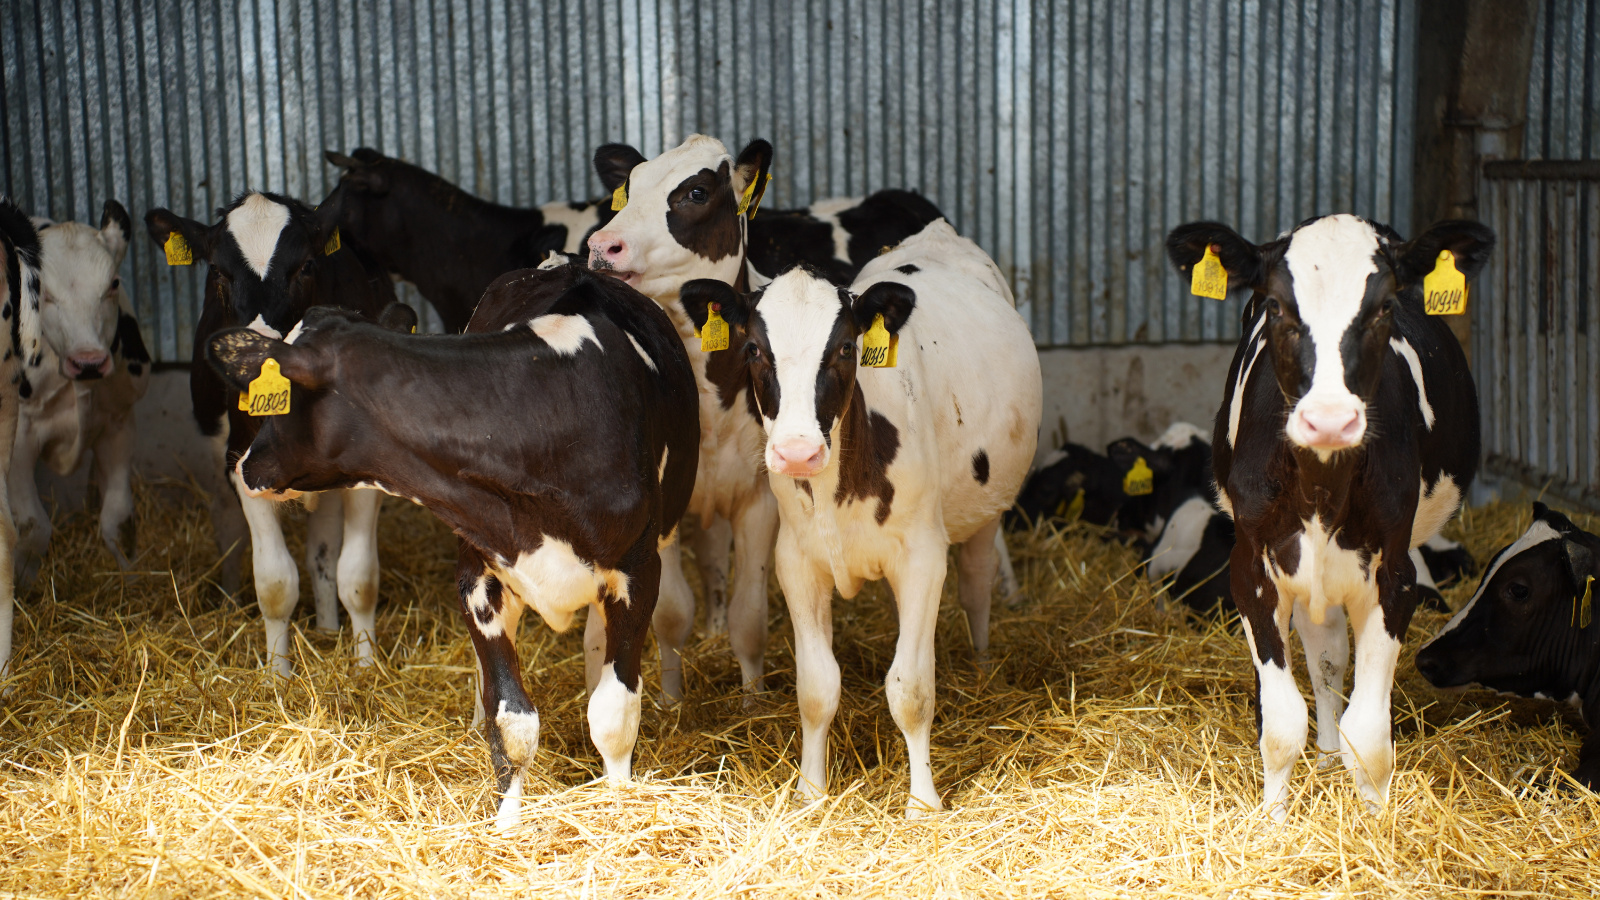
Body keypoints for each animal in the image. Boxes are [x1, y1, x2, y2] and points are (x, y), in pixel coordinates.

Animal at [11, 202, 151, 587]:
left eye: (113, 284)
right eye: (41, 292)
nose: (88, 361)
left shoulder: (119, 423)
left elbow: (119, 520)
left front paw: (133, 581)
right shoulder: (20, 435)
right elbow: (33, 528)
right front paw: (24, 588)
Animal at [145, 191, 397, 676]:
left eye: (305, 266)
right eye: (217, 271)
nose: (255, 355)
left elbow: (358, 576)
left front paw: (365, 668)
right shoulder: (243, 466)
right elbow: (275, 583)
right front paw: (278, 675)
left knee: (322, 549)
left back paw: (327, 629)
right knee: (231, 528)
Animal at [204, 263, 699, 829]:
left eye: (278, 397)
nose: (245, 463)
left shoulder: (638, 574)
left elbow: (614, 714)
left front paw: (618, 806)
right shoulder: (478, 577)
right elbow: (511, 721)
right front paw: (506, 825)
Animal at [680, 218, 1043, 816]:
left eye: (846, 347)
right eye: (753, 348)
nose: (798, 452)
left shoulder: (923, 556)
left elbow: (911, 688)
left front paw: (923, 802)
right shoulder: (796, 561)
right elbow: (816, 686)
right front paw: (810, 792)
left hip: (986, 508)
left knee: (976, 587)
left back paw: (983, 665)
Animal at [1166, 213, 1490, 818]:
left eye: (1385, 306)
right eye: (1274, 305)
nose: (1330, 420)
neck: (1321, 487)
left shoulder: (1396, 574)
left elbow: (1370, 732)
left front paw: (1376, 821)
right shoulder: (1251, 566)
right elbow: (1281, 722)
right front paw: (1272, 821)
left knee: (1332, 659)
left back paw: (1332, 756)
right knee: (1325, 658)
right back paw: (1324, 755)